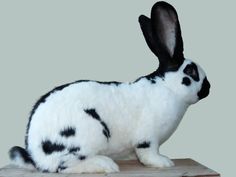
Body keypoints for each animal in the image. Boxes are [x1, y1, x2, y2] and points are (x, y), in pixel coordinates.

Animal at [8, 0, 210, 174]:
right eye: (191, 71)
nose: (208, 88)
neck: (168, 87)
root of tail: (35, 155)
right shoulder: (148, 138)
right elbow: (149, 154)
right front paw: (164, 162)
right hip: (91, 132)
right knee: (63, 165)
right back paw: (104, 164)